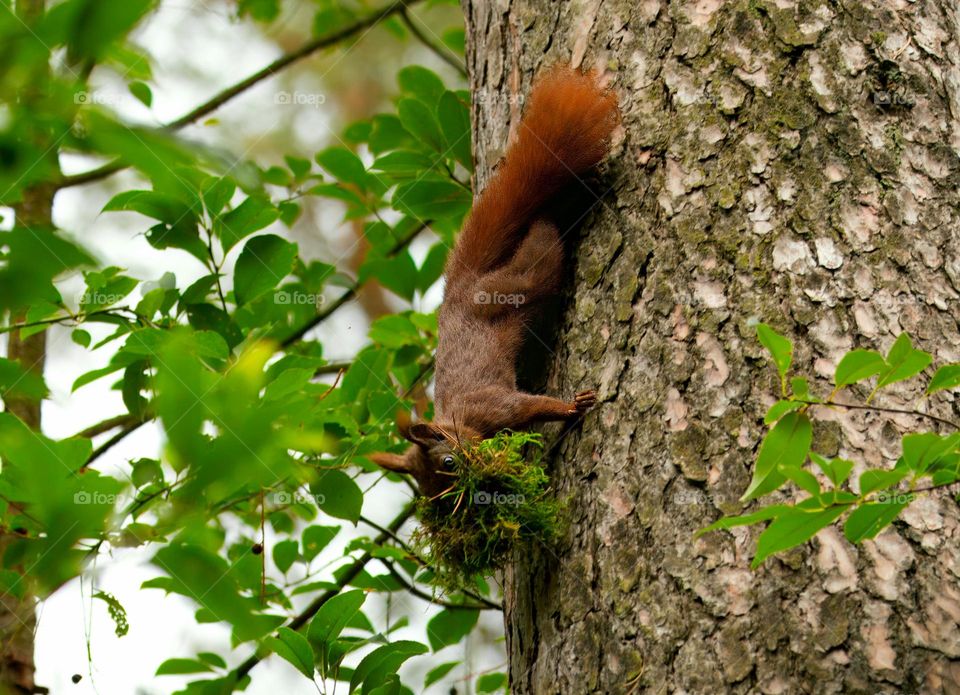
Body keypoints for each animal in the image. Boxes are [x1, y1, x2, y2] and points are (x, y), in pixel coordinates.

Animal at [368, 65, 624, 498]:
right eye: (432, 495)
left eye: (449, 462)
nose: (471, 490)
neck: (458, 419)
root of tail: (459, 287)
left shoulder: (494, 405)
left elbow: (531, 407)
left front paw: (574, 406)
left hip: (516, 284)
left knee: (543, 238)